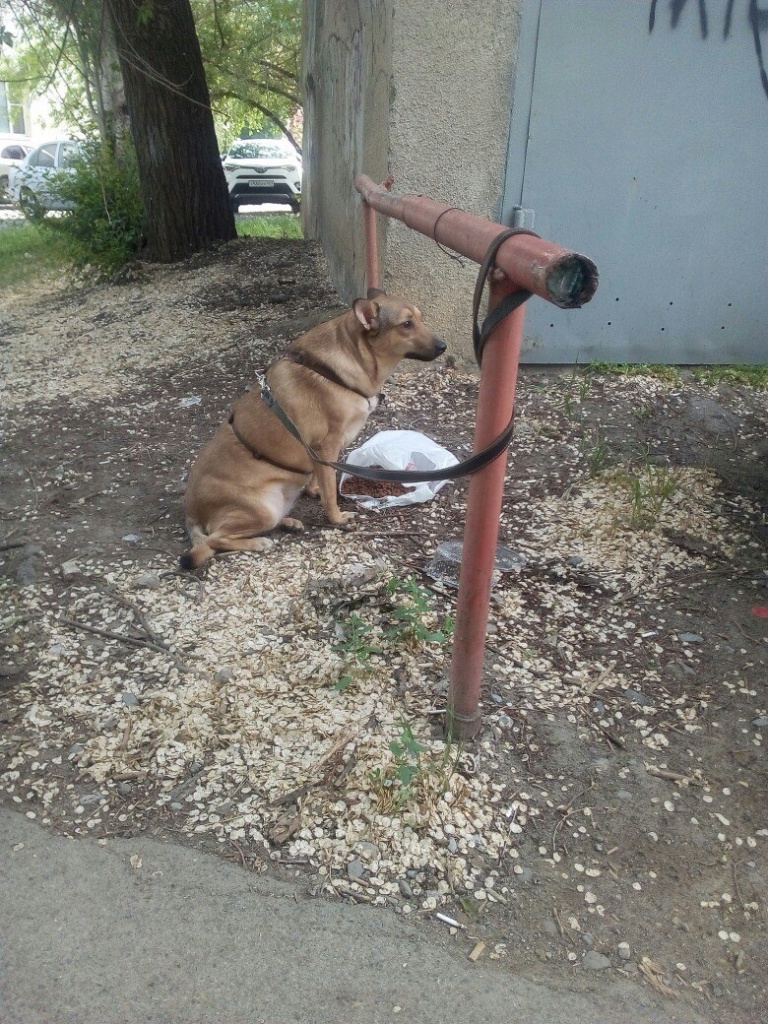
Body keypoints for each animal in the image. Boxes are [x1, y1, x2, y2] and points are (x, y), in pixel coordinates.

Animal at [180, 292, 444, 573]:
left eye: (419, 319)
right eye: (406, 324)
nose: (443, 346)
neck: (353, 358)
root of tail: (191, 512)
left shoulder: (320, 451)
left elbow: (320, 478)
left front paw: (314, 490)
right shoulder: (326, 444)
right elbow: (329, 492)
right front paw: (337, 517)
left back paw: (288, 523)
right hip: (263, 509)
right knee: (215, 539)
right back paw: (258, 542)